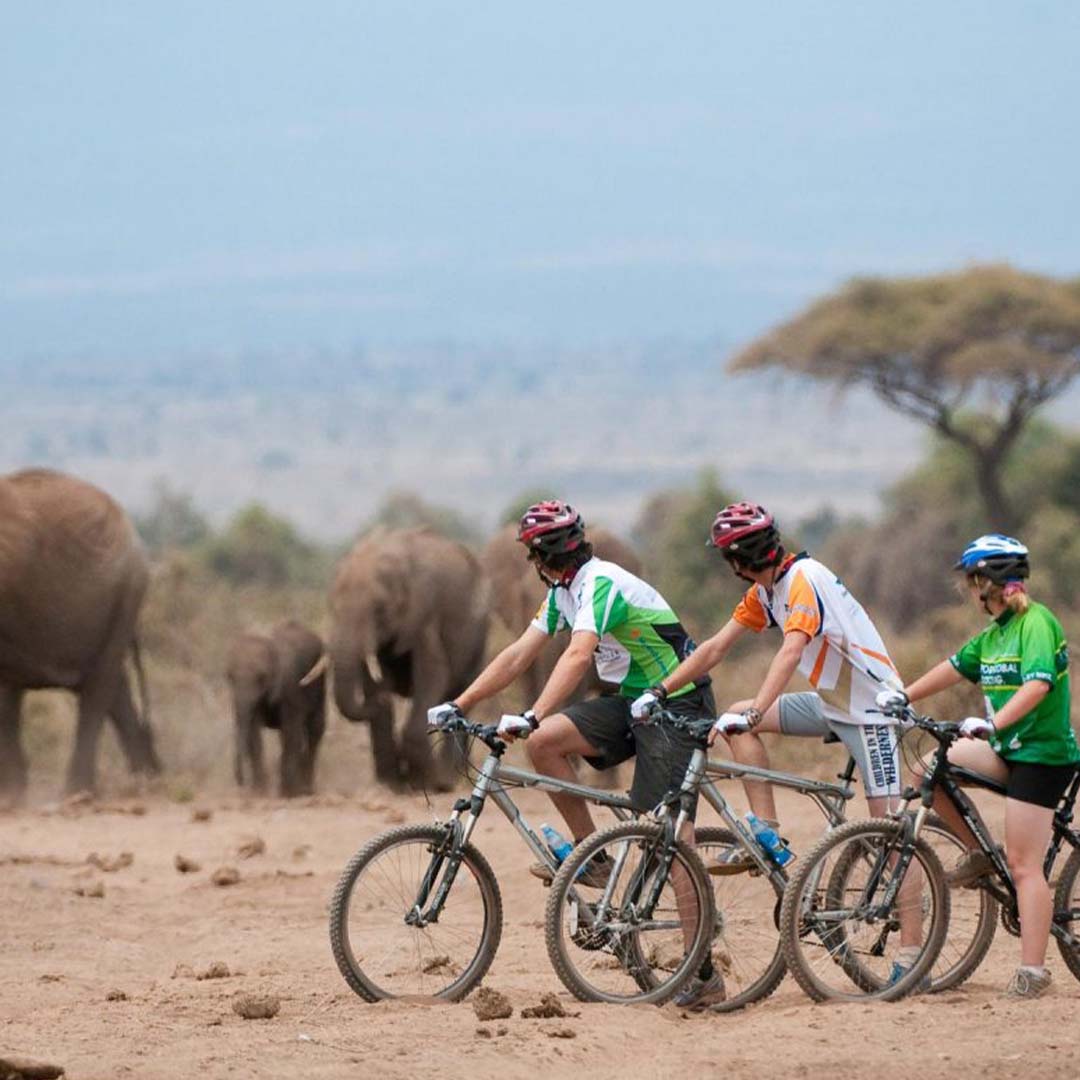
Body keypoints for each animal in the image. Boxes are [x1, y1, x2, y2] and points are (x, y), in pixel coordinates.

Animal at [225, 622, 326, 799]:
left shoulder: (291, 686)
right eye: (229, 676)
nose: (241, 783)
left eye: (261, 677)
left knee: (314, 730)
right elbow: (254, 735)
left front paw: (287, 794)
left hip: (320, 683)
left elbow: (290, 732)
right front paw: (259, 793)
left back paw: (306, 791)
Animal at [326, 527, 492, 790]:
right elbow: (370, 681)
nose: (382, 700)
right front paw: (395, 784)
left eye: (379, 609)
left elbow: (433, 673)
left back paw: (450, 779)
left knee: (462, 691)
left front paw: (427, 781)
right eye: (332, 606)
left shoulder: (424, 611)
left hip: (479, 632)